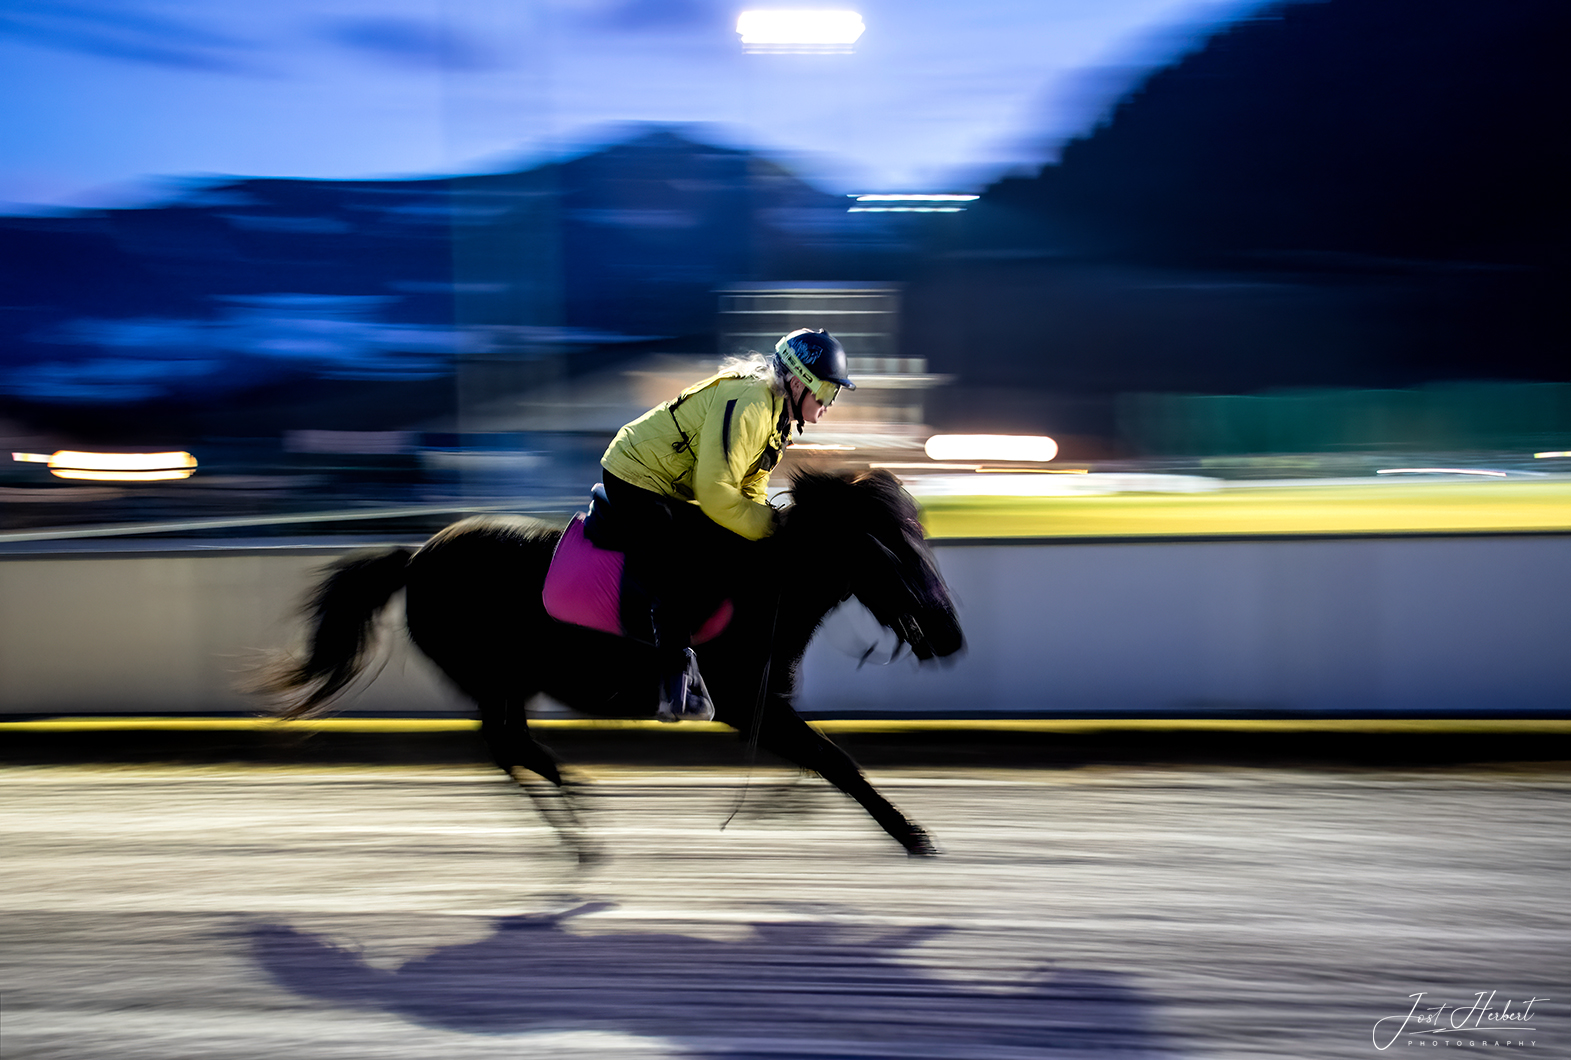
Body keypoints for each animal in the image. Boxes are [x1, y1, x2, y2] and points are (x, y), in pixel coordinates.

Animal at [260, 467, 955, 860]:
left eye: (921, 540)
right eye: (890, 550)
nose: (948, 635)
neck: (764, 583)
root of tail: (414, 557)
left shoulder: (766, 700)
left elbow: (821, 757)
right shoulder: (739, 699)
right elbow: (834, 757)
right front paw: (910, 833)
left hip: (512, 678)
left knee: (510, 741)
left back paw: (577, 816)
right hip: (493, 672)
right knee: (504, 743)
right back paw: (579, 824)